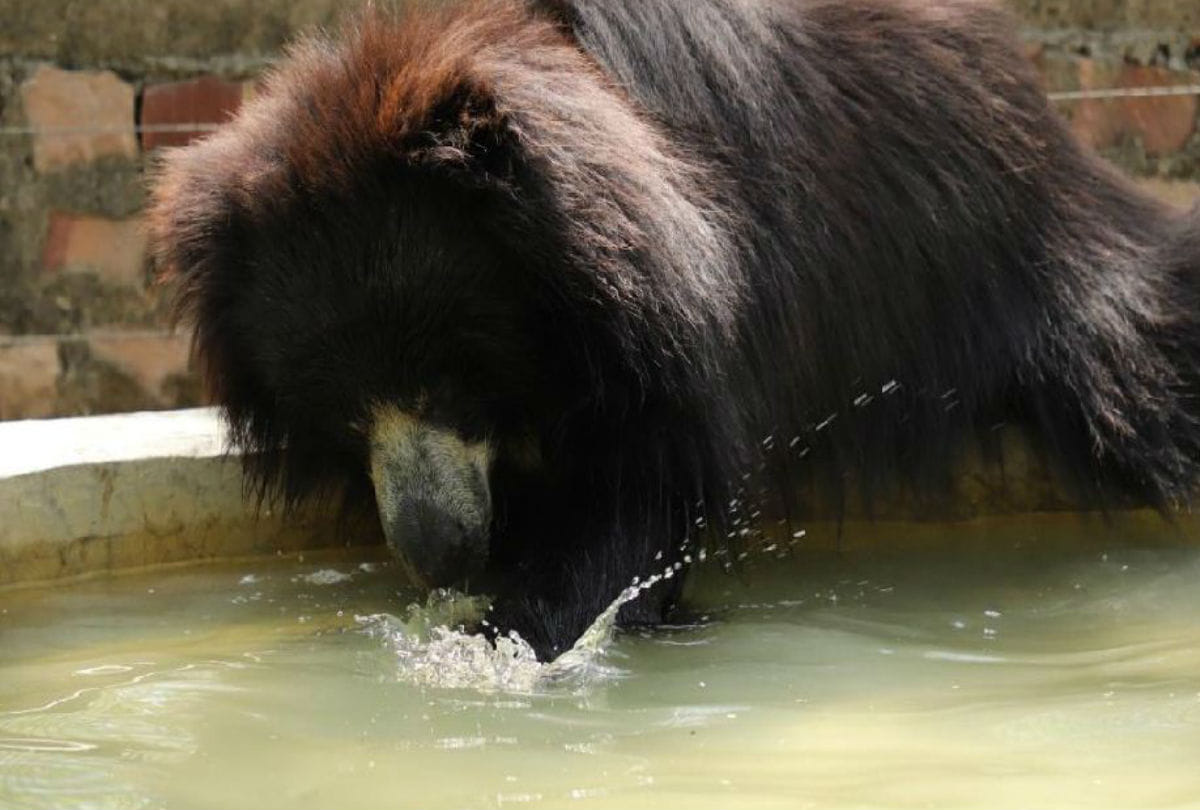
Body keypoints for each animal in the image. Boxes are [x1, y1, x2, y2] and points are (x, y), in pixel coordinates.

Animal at [149, 0, 1200, 660]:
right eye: (343, 412)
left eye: (448, 382)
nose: (440, 552)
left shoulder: (687, 323)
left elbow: (646, 499)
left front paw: (508, 631)